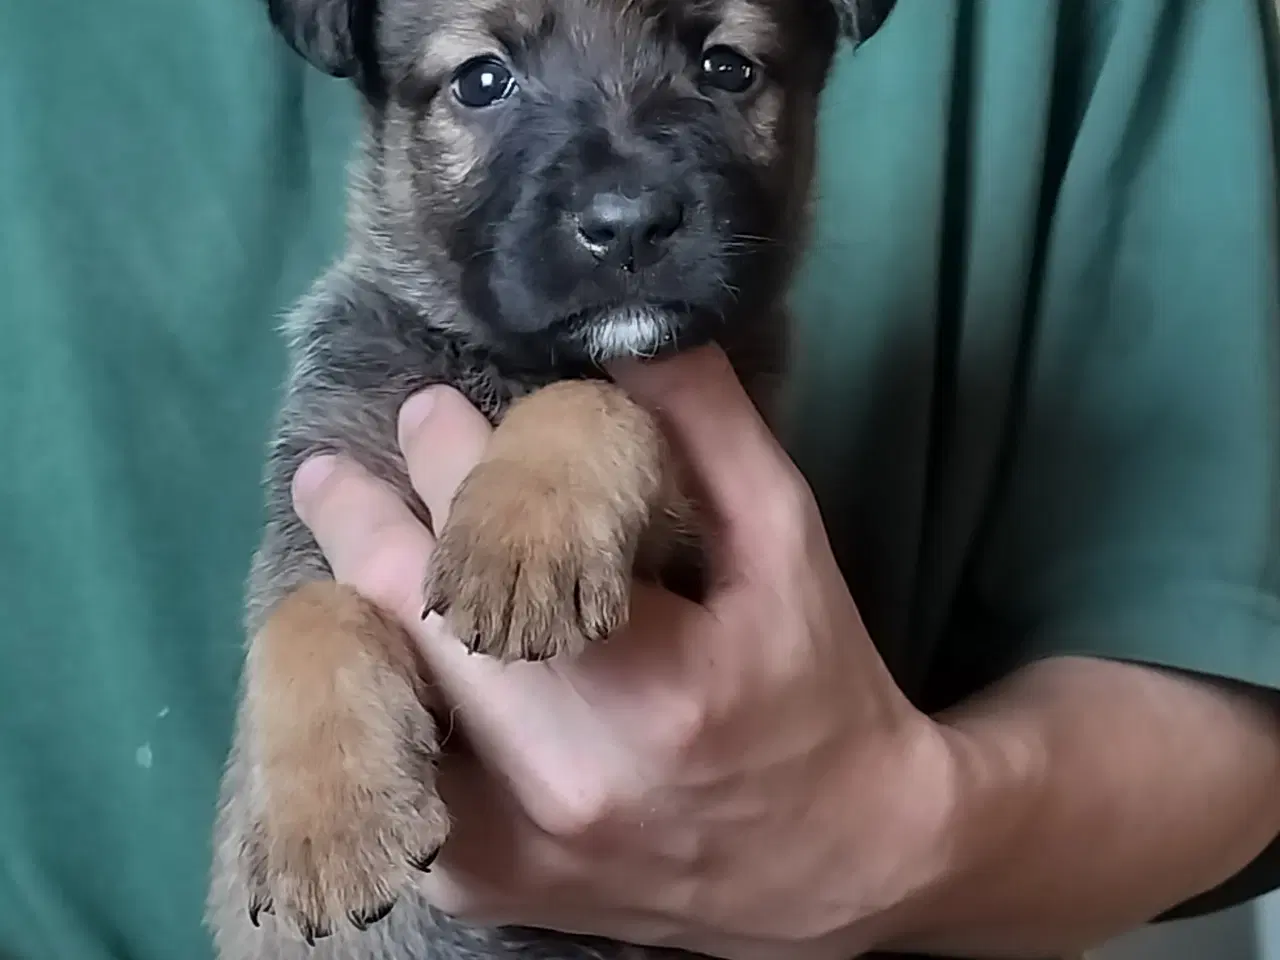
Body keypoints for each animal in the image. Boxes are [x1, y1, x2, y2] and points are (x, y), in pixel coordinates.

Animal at [207, 1, 890, 960]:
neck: (507, 366)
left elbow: (594, 401)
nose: (629, 224)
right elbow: (305, 615)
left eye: (726, 68)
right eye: (481, 80)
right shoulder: (317, 492)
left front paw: (523, 531)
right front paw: (328, 819)